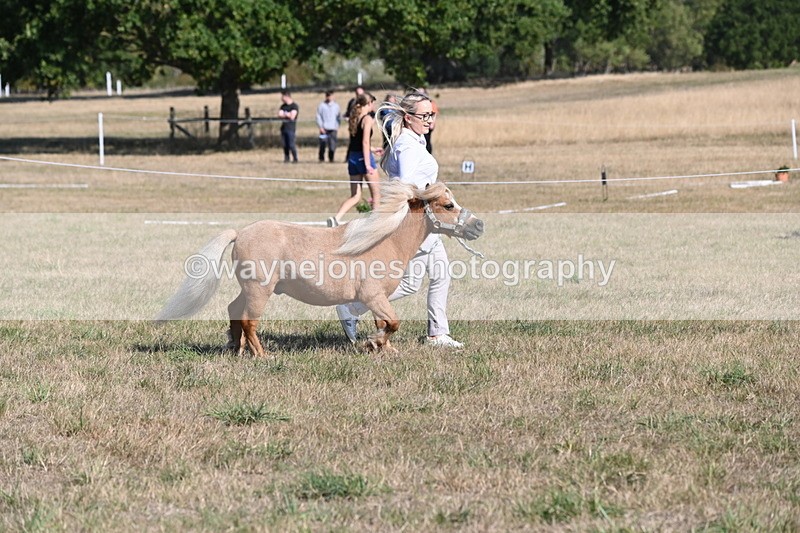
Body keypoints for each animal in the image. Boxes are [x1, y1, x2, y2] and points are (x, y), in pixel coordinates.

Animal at [156, 180, 484, 356]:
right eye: (448, 205)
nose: (478, 225)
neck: (384, 241)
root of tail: (240, 233)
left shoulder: (376, 300)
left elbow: (383, 323)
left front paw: (384, 349)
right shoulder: (374, 296)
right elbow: (391, 323)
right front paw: (373, 343)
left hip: (249, 289)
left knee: (234, 311)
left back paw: (237, 350)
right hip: (259, 291)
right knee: (249, 321)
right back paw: (261, 355)